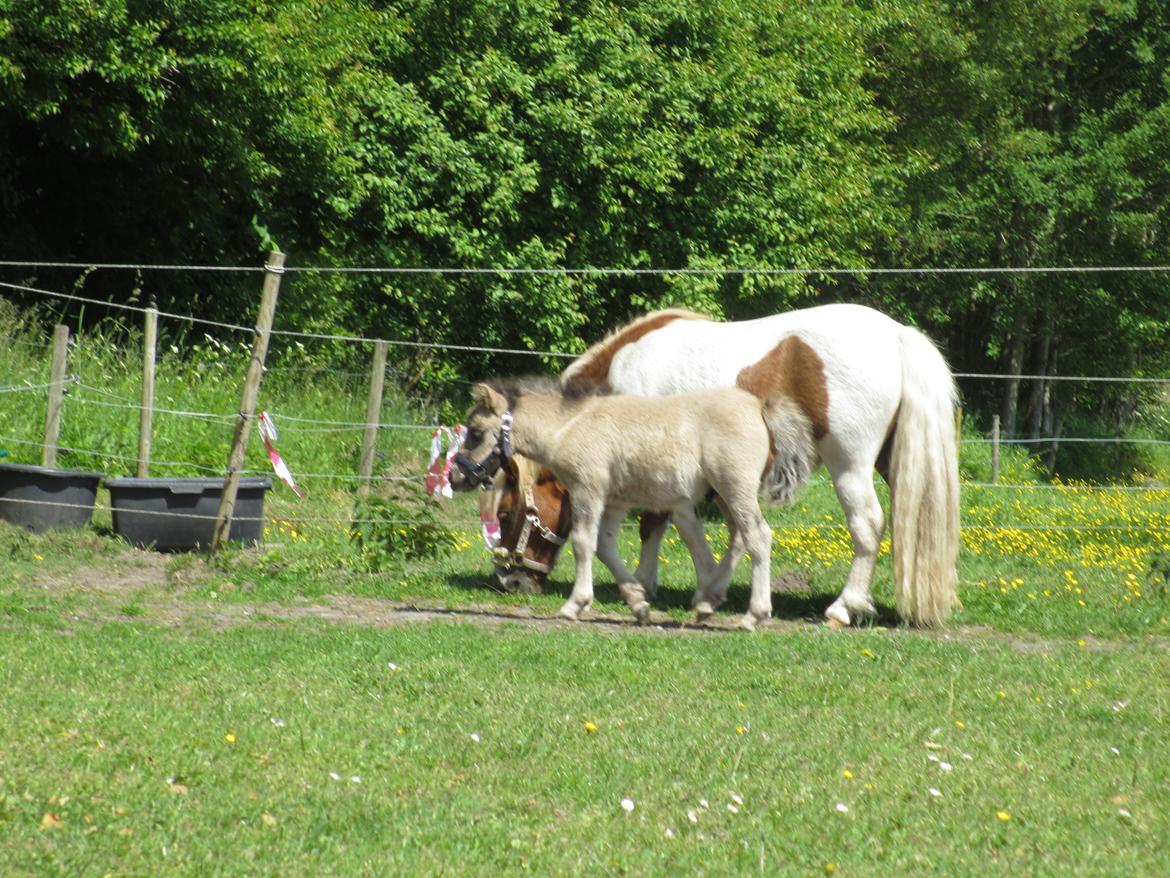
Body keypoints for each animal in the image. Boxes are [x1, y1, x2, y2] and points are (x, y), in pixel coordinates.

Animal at [446, 381, 814, 627]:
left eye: (476, 433)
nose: (455, 477)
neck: (570, 427)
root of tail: (760, 407)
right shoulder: (614, 501)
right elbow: (605, 547)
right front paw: (638, 603)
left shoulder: (588, 490)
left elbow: (583, 544)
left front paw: (574, 605)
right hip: (725, 495)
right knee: (739, 538)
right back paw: (707, 602)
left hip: (735, 488)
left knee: (758, 537)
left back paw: (754, 615)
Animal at [484, 306, 959, 627]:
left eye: (506, 513)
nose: (511, 582)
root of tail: (897, 335)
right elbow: (712, 532)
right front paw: (702, 590)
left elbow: (659, 526)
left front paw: (648, 585)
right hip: (889, 463)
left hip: (850, 465)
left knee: (867, 525)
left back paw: (843, 607)